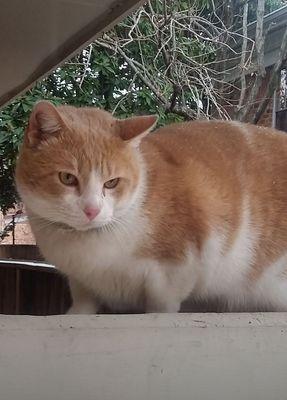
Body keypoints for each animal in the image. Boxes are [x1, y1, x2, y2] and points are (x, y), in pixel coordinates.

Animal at [15, 100, 287, 312]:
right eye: (67, 178)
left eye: (111, 182)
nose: (92, 210)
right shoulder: (80, 280)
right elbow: (84, 304)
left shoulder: (175, 270)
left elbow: (160, 306)